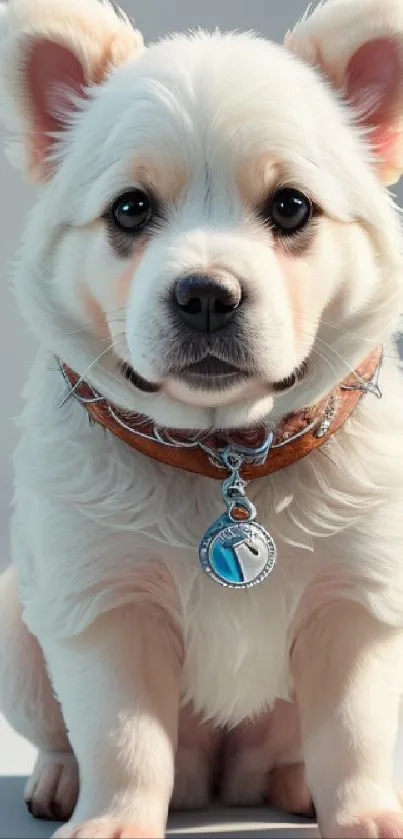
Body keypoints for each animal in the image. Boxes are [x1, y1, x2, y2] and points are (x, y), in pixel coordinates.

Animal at [0, 0, 403, 836]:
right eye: (130, 209)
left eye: (290, 207)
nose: (206, 295)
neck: (226, 449)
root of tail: (221, 775)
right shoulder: (104, 606)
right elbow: (122, 741)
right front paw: (114, 821)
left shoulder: (357, 603)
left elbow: (350, 734)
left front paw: (365, 814)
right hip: (18, 628)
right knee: (62, 736)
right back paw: (59, 780)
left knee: (293, 749)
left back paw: (294, 783)